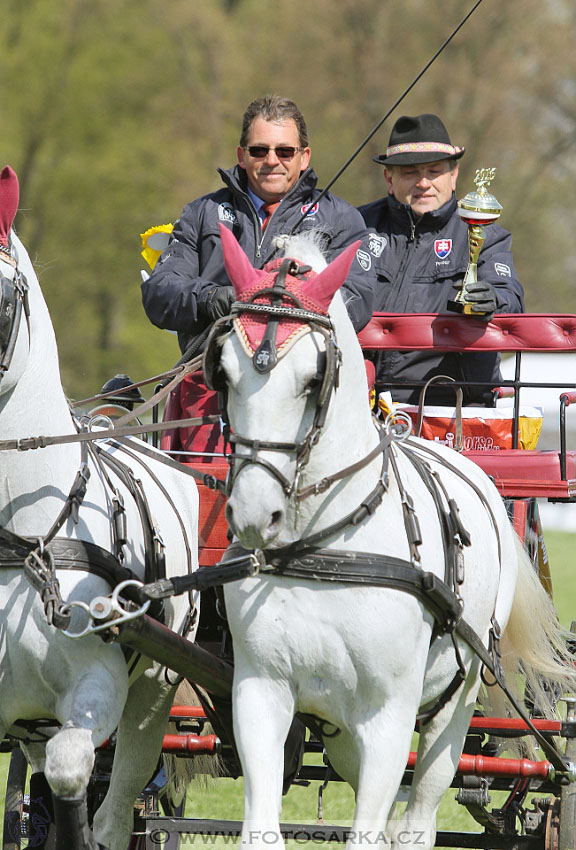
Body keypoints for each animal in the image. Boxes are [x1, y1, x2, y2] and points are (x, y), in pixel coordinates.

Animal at [213, 224, 576, 848]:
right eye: (225, 372)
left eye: (312, 378)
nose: (256, 515)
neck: (326, 546)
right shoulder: (261, 693)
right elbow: (263, 828)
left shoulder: (388, 712)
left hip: (452, 707)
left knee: (418, 818)